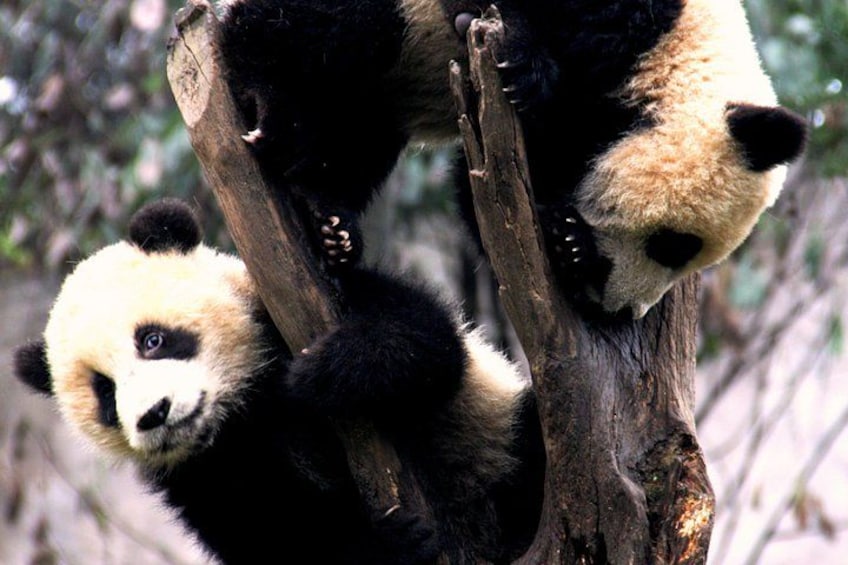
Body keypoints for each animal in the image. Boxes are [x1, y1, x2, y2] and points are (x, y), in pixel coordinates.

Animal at [13, 199, 544, 564]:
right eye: (104, 392)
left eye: (152, 340)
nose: (154, 414)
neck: (243, 402)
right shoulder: (201, 471)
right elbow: (267, 535)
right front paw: (388, 544)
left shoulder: (288, 307)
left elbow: (423, 340)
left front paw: (325, 373)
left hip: (500, 450)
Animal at [217, 0, 807, 318]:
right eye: (673, 245)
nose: (618, 311)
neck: (673, 55)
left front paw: (565, 239)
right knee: (327, 30)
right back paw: (266, 100)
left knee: (356, 135)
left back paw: (332, 223)